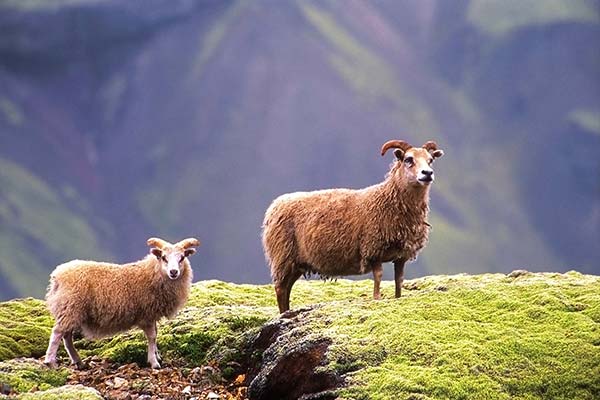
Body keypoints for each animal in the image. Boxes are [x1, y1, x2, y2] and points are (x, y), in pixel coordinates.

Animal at [43, 236, 202, 370]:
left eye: (182, 257)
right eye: (163, 257)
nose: (173, 272)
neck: (152, 274)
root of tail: (57, 275)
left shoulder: (152, 314)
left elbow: (156, 334)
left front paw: (158, 356)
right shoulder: (147, 314)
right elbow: (152, 337)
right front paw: (154, 362)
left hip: (70, 310)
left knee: (66, 337)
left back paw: (78, 362)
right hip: (70, 307)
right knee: (57, 333)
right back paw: (50, 362)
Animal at [264, 140, 446, 312]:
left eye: (430, 160)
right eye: (409, 159)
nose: (427, 173)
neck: (389, 200)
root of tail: (275, 205)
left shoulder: (401, 255)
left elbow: (399, 280)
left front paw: (398, 298)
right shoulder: (373, 250)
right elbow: (378, 276)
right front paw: (376, 299)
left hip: (297, 262)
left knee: (287, 288)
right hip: (283, 256)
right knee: (280, 289)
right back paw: (283, 313)